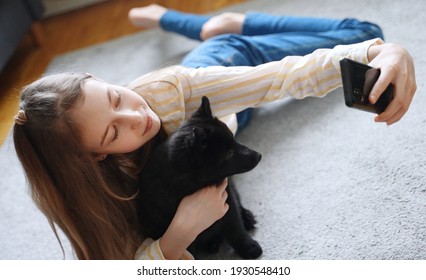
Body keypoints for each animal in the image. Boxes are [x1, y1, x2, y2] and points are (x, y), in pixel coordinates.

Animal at [138, 97, 262, 260]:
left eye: (234, 139)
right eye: (228, 154)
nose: (259, 156)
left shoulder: (227, 201)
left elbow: (236, 228)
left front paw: (248, 246)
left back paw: (246, 217)